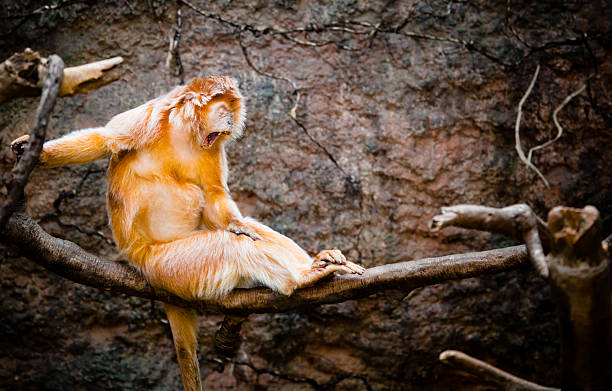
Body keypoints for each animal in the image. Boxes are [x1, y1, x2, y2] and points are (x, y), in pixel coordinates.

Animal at [10, 76, 364, 391]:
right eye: (224, 108)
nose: (231, 118)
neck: (182, 134)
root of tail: (138, 261)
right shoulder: (148, 116)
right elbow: (105, 139)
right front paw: (34, 151)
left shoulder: (212, 148)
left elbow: (217, 197)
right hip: (168, 266)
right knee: (230, 246)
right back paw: (301, 279)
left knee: (245, 230)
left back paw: (320, 263)